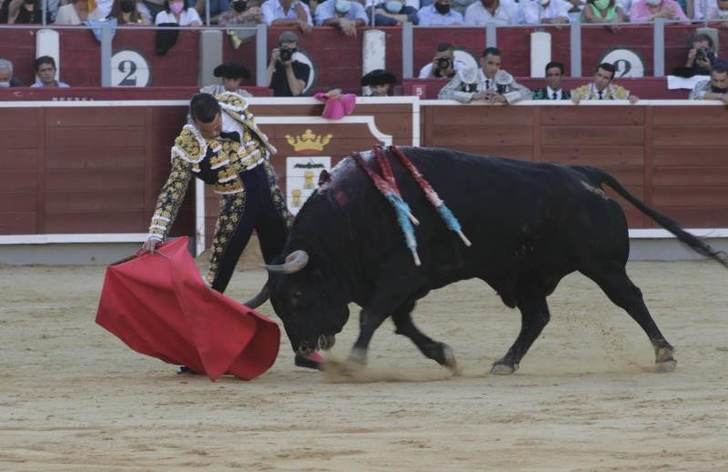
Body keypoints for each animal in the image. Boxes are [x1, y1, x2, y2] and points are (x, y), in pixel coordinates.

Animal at [247, 148, 724, 376]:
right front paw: (443, 355)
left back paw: (664, 353)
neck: (352, 218)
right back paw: (505, 362)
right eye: (279, 304)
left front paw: (355, 363)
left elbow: (373, 317)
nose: (303, 351)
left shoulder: (401, 275)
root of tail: (582, 173)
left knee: (630, 298)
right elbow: (401, 323)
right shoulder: (405, 285)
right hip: (529, 275)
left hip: (602, 265)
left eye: (298, 296)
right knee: (537, 317)